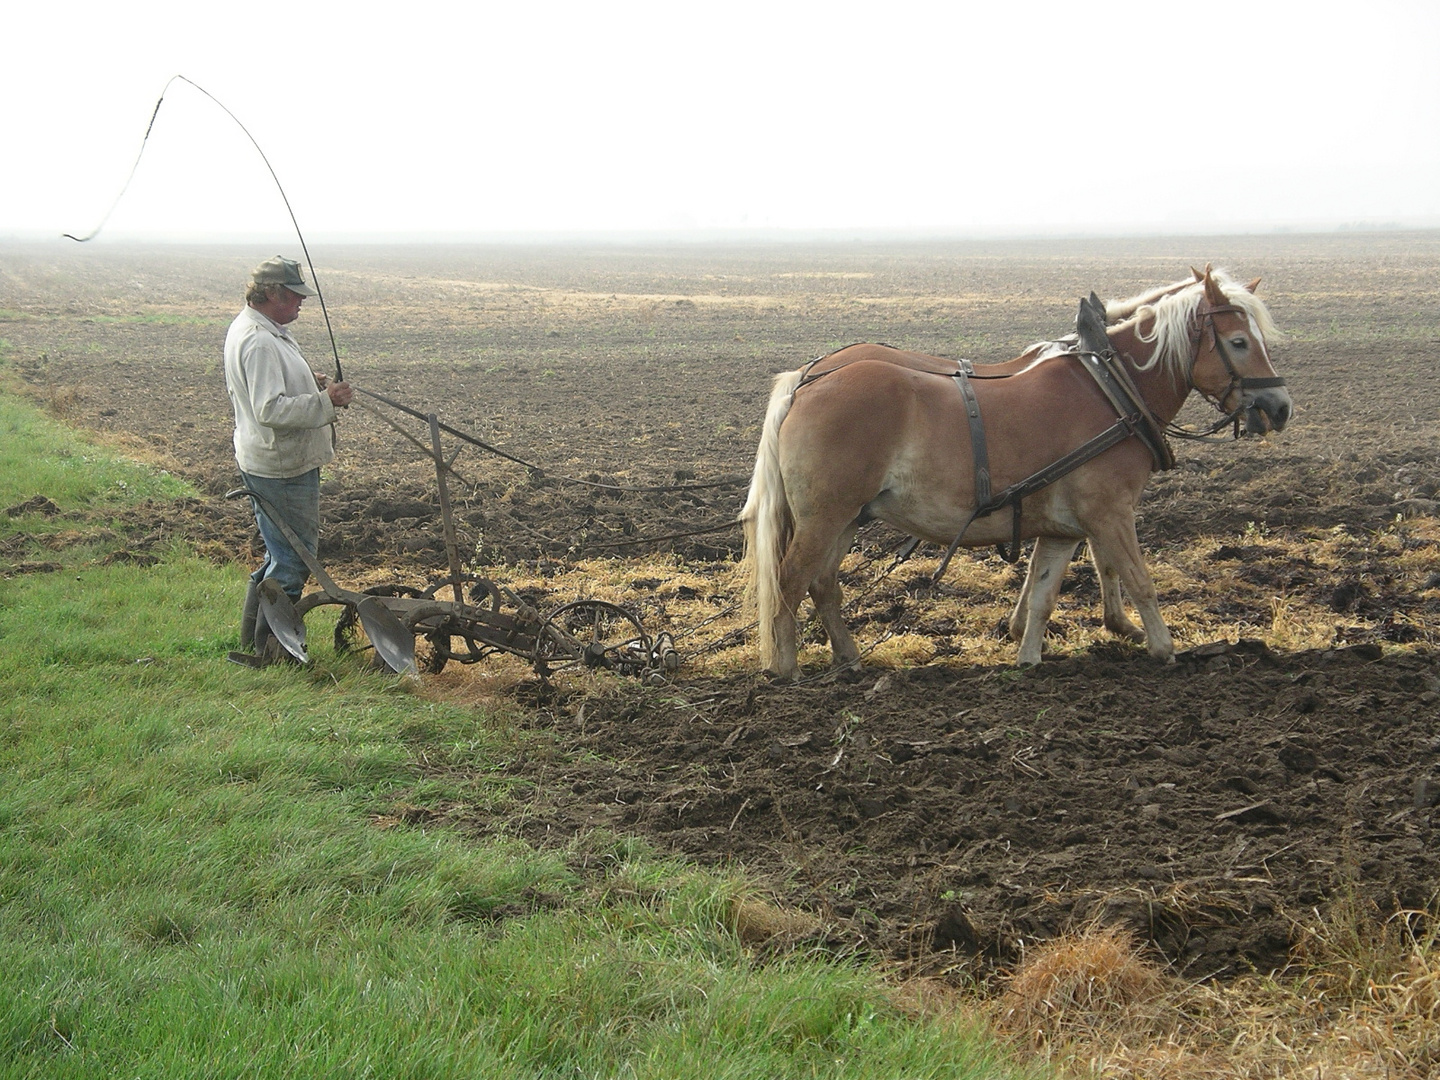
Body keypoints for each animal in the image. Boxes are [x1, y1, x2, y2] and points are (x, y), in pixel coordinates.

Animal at [743, 266, 1296, 679]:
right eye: (1240, 342)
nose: (1279, 406)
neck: (1112, 388)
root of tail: (808, 383)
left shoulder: (1062, 527)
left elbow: (1045, 590)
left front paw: (1028, 654)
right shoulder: (1110, 512)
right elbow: (1137, 577)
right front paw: (1161, 645)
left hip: (846, 517)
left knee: (823, 585)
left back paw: (849, 658)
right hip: (824, 516)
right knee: (791, 581)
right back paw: (786, 669)